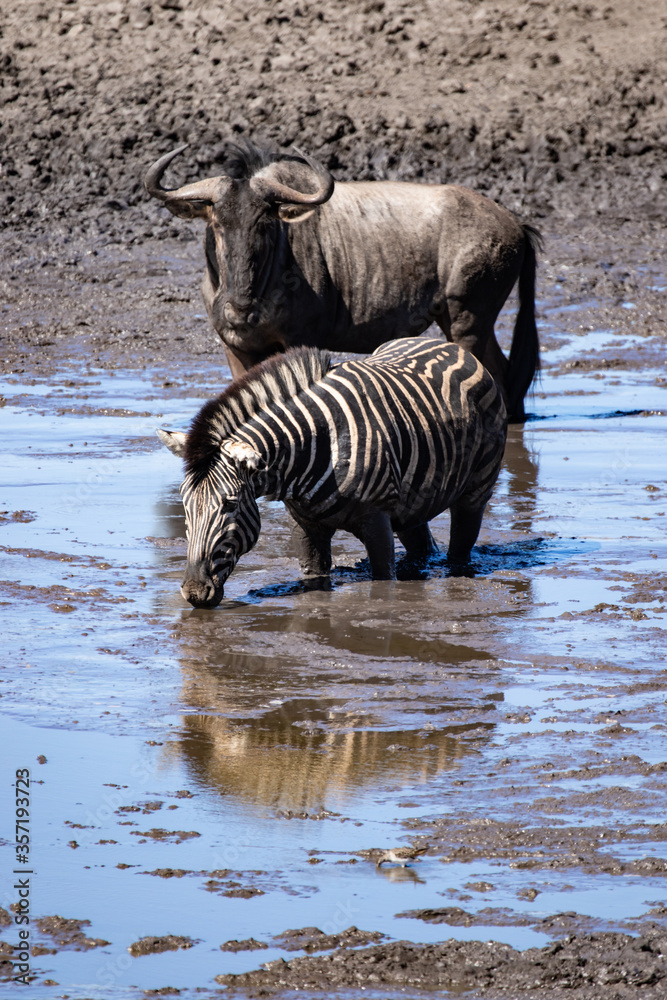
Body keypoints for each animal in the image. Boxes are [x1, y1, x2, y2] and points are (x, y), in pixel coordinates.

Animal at [158, 337, 507, 608]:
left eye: (229, 505)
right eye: (185, 506)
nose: (194, 594)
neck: (311, 449)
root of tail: (449, 344)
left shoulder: (377, 520)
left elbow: (384, 583)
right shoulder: (305, 526)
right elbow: (315, 582)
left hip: (475, 489)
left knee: (461, 547)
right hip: (412, 501)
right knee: (420, 544)